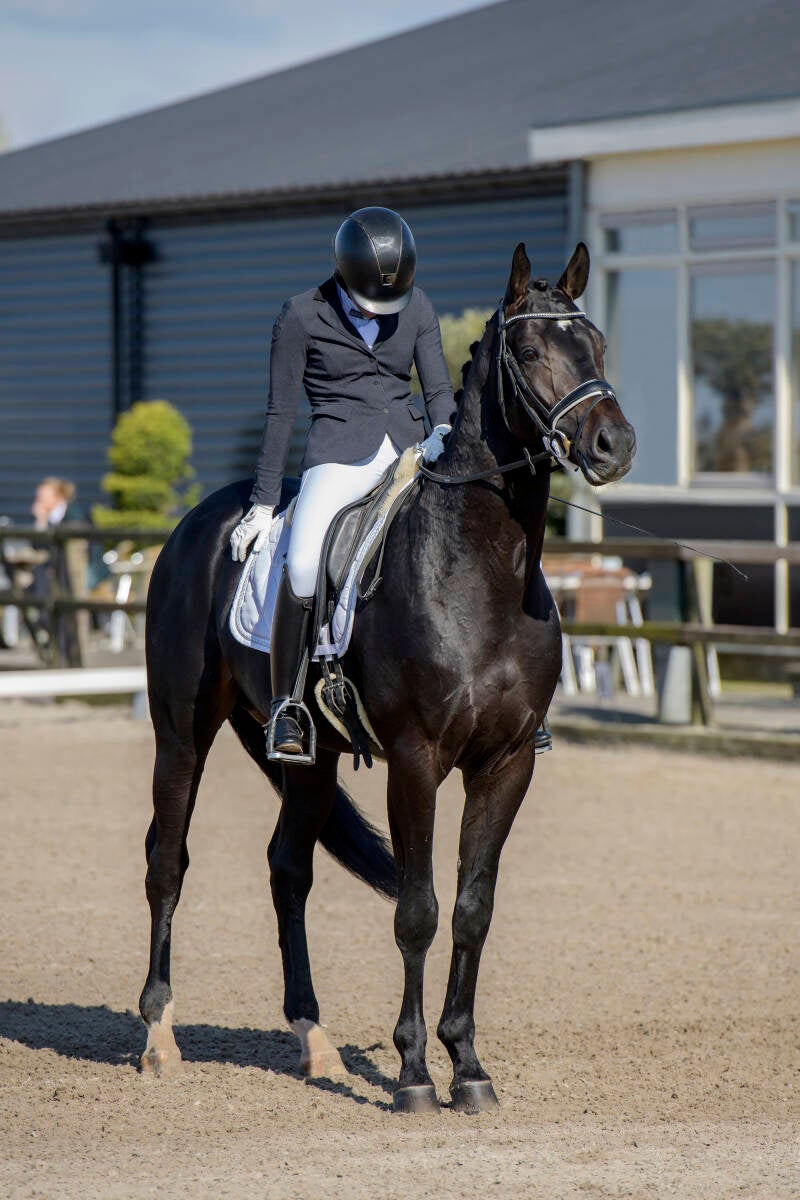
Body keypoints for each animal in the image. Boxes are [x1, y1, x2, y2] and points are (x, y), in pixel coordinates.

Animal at [138, 241, 636, 1113]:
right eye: (530, 350)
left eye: (597, 344)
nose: (615, 445)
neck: (483, 573)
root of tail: (201, 521)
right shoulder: (415, 760)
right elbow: (417, 910)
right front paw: (412, 1075)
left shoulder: (505, 765)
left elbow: (472, 909)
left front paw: (467, 1066)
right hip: (182, 734)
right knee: (169, 860)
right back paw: (159, 1036)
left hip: (307, 758)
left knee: (288, 870)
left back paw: (316, 1041)